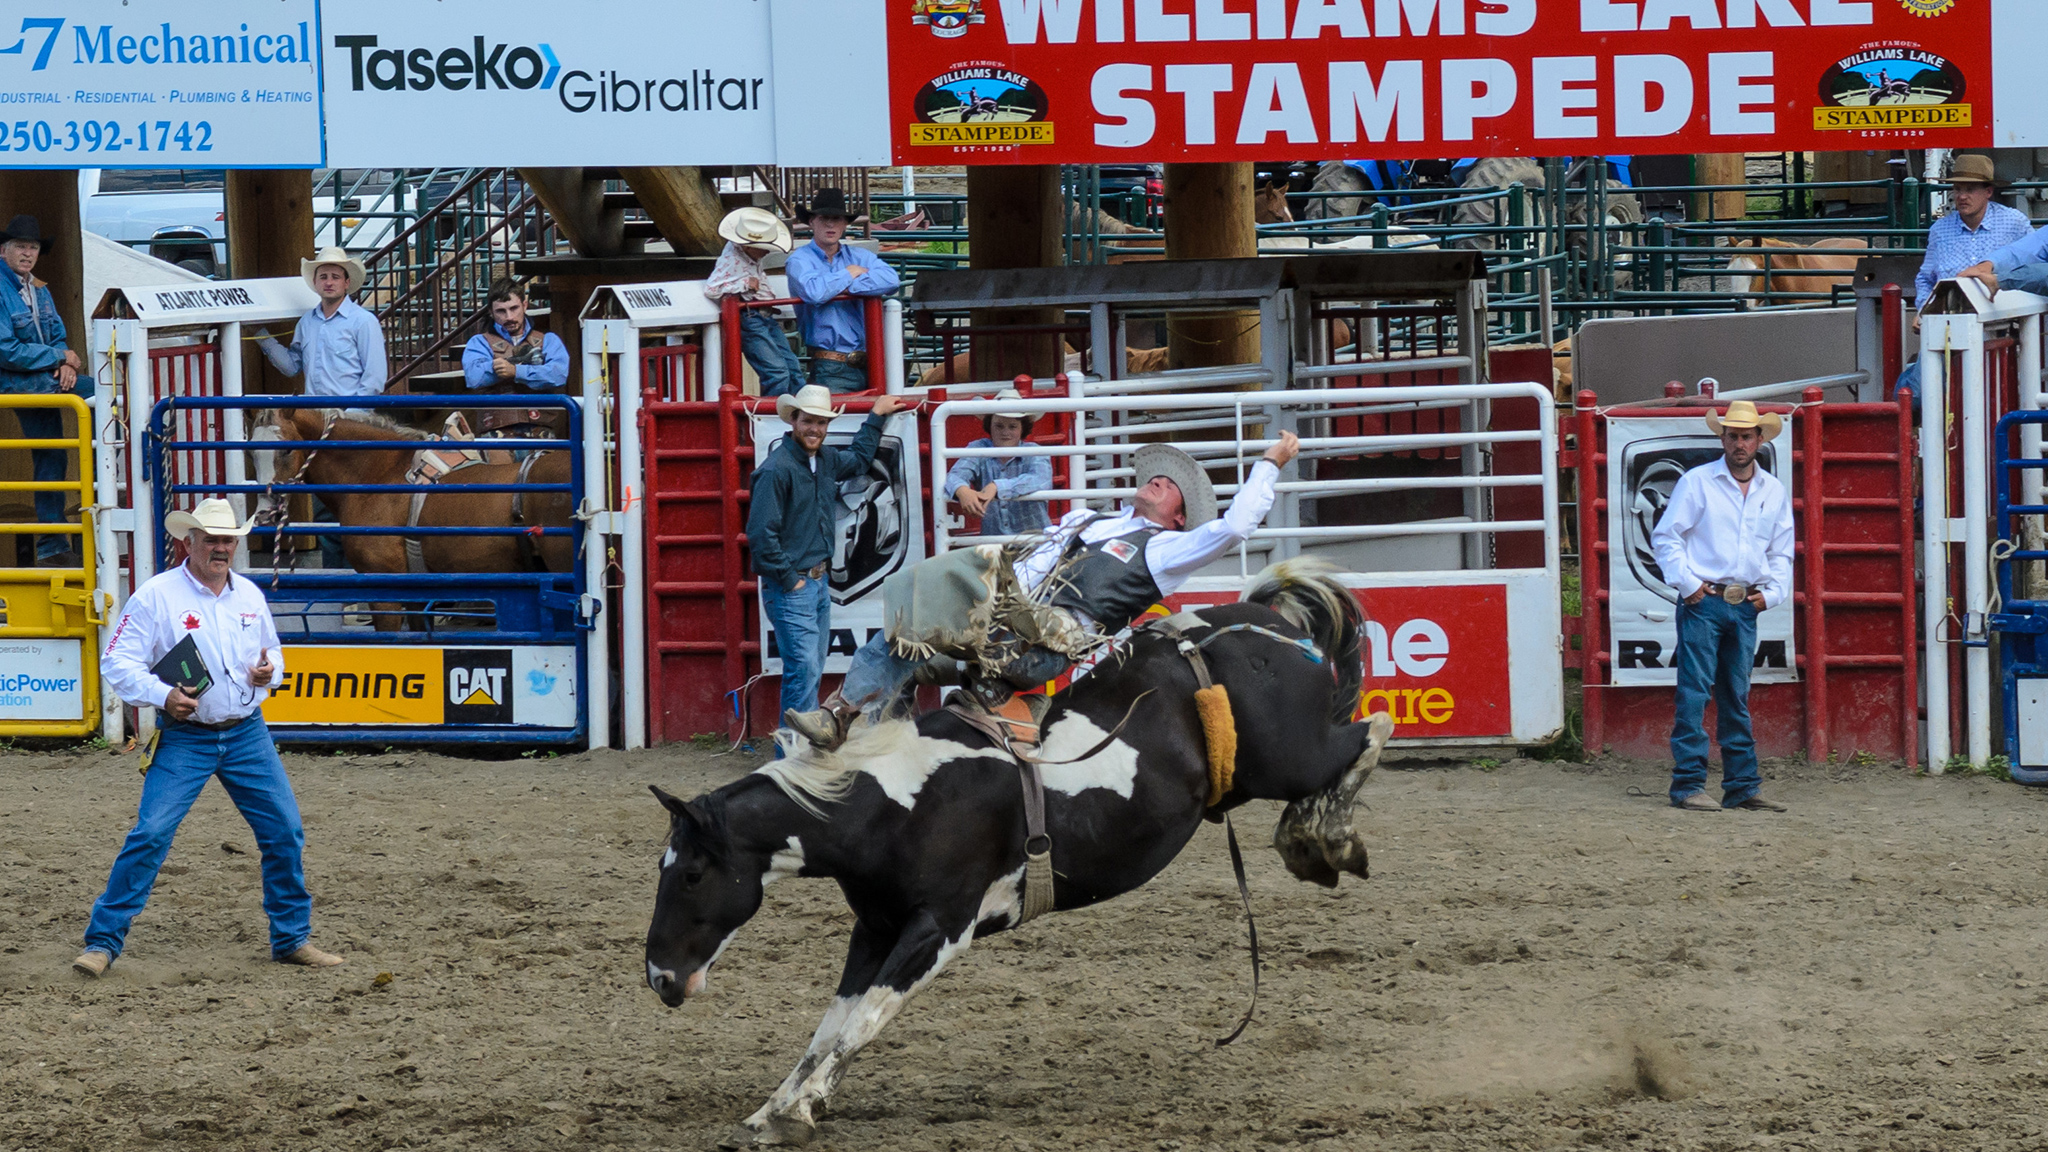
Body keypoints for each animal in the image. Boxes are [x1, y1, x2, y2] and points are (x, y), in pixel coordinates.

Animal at [647, 557, 1400, 1139]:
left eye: (692, 874)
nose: (659, 978)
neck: (894, 801)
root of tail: (1267, 623)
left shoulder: (942, 927)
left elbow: (864, 1020)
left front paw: (797, 1112)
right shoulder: (876, 927)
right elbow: (830, 1026)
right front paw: (780, 1104)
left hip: (1290, 757)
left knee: (1370, 731)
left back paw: (1322, 840)